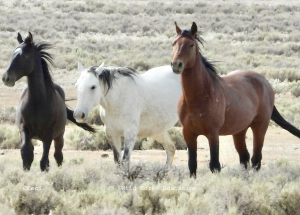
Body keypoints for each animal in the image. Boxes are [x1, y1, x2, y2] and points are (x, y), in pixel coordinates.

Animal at [1, 32, 94, 171]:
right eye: (13, 53)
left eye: (26, 55)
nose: (6, 78)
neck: (38, 102)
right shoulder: (24, 130)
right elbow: (26, 153)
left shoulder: (49, 134)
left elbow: (44, 161)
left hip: (59, 136)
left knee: (58, 155)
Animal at [172, 21, 300, 177]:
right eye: (174, 43)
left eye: (191, 44)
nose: (176, 65)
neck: (198, 97)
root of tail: (265, 82)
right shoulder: (188, 133)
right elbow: (192, 165)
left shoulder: (213, 133)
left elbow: (214, 165)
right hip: (239, 131)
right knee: (244, 157)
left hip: (260, 127)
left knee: (256, 159)